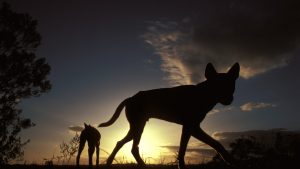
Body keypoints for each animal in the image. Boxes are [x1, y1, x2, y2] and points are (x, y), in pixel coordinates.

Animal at [99, 62, 240, 168]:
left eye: (231, 85)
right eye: (217, 85)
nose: (229, 99)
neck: (202, 94)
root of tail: (130, 98)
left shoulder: (190, 128)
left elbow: (192, 148)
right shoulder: (192, 127)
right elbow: (208, 144)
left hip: (137, 127)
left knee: (124, 144)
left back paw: (113, 163)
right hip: (137, 127)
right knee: (130, 147)